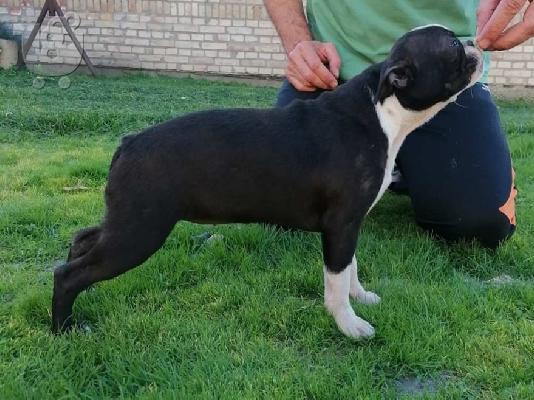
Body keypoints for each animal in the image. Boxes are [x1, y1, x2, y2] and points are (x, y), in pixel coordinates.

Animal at [52, 26, 483, 338]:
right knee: (69, 274)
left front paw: (362, 296)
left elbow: (351, 266)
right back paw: (65, 329)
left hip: (127, 219)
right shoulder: (341, 224)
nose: (475, 43)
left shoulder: (350, 224)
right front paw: (349, 325)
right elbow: (336, 278)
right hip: (140, 231)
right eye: (451, 47)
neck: (383, 111)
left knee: (83, 239)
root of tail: (129, 142)